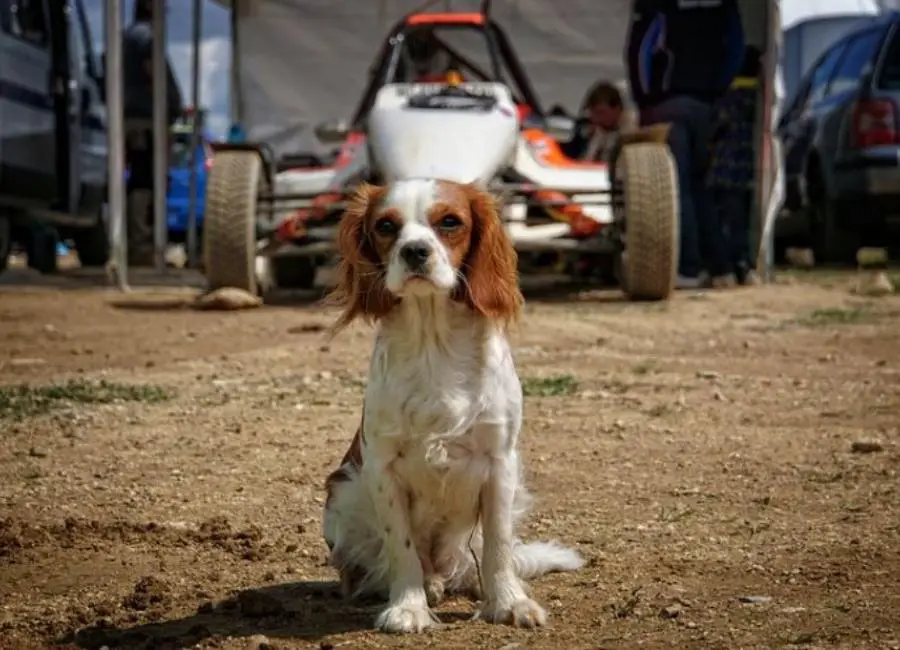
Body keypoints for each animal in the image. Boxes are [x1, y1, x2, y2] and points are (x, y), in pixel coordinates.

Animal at [320, 177, 580, 632]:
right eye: (386, 226)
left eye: (450, 222)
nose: (414, 251)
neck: (434, 342)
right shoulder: (382, 467)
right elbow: (401, 548)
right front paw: (408, 607)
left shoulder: (500, 464)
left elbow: (498, 546)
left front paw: (508, 602)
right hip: (344, 494)